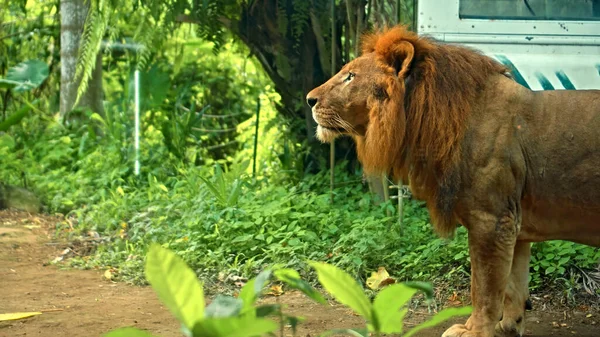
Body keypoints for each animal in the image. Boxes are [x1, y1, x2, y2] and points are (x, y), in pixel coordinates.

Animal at [308, 25, 600, 334]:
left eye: (350, 76)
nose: (309, 99)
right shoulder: (515, 224)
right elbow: (513, 287)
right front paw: (506, 328)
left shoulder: (492, 221)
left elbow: (484, 288)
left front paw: (474, 331)